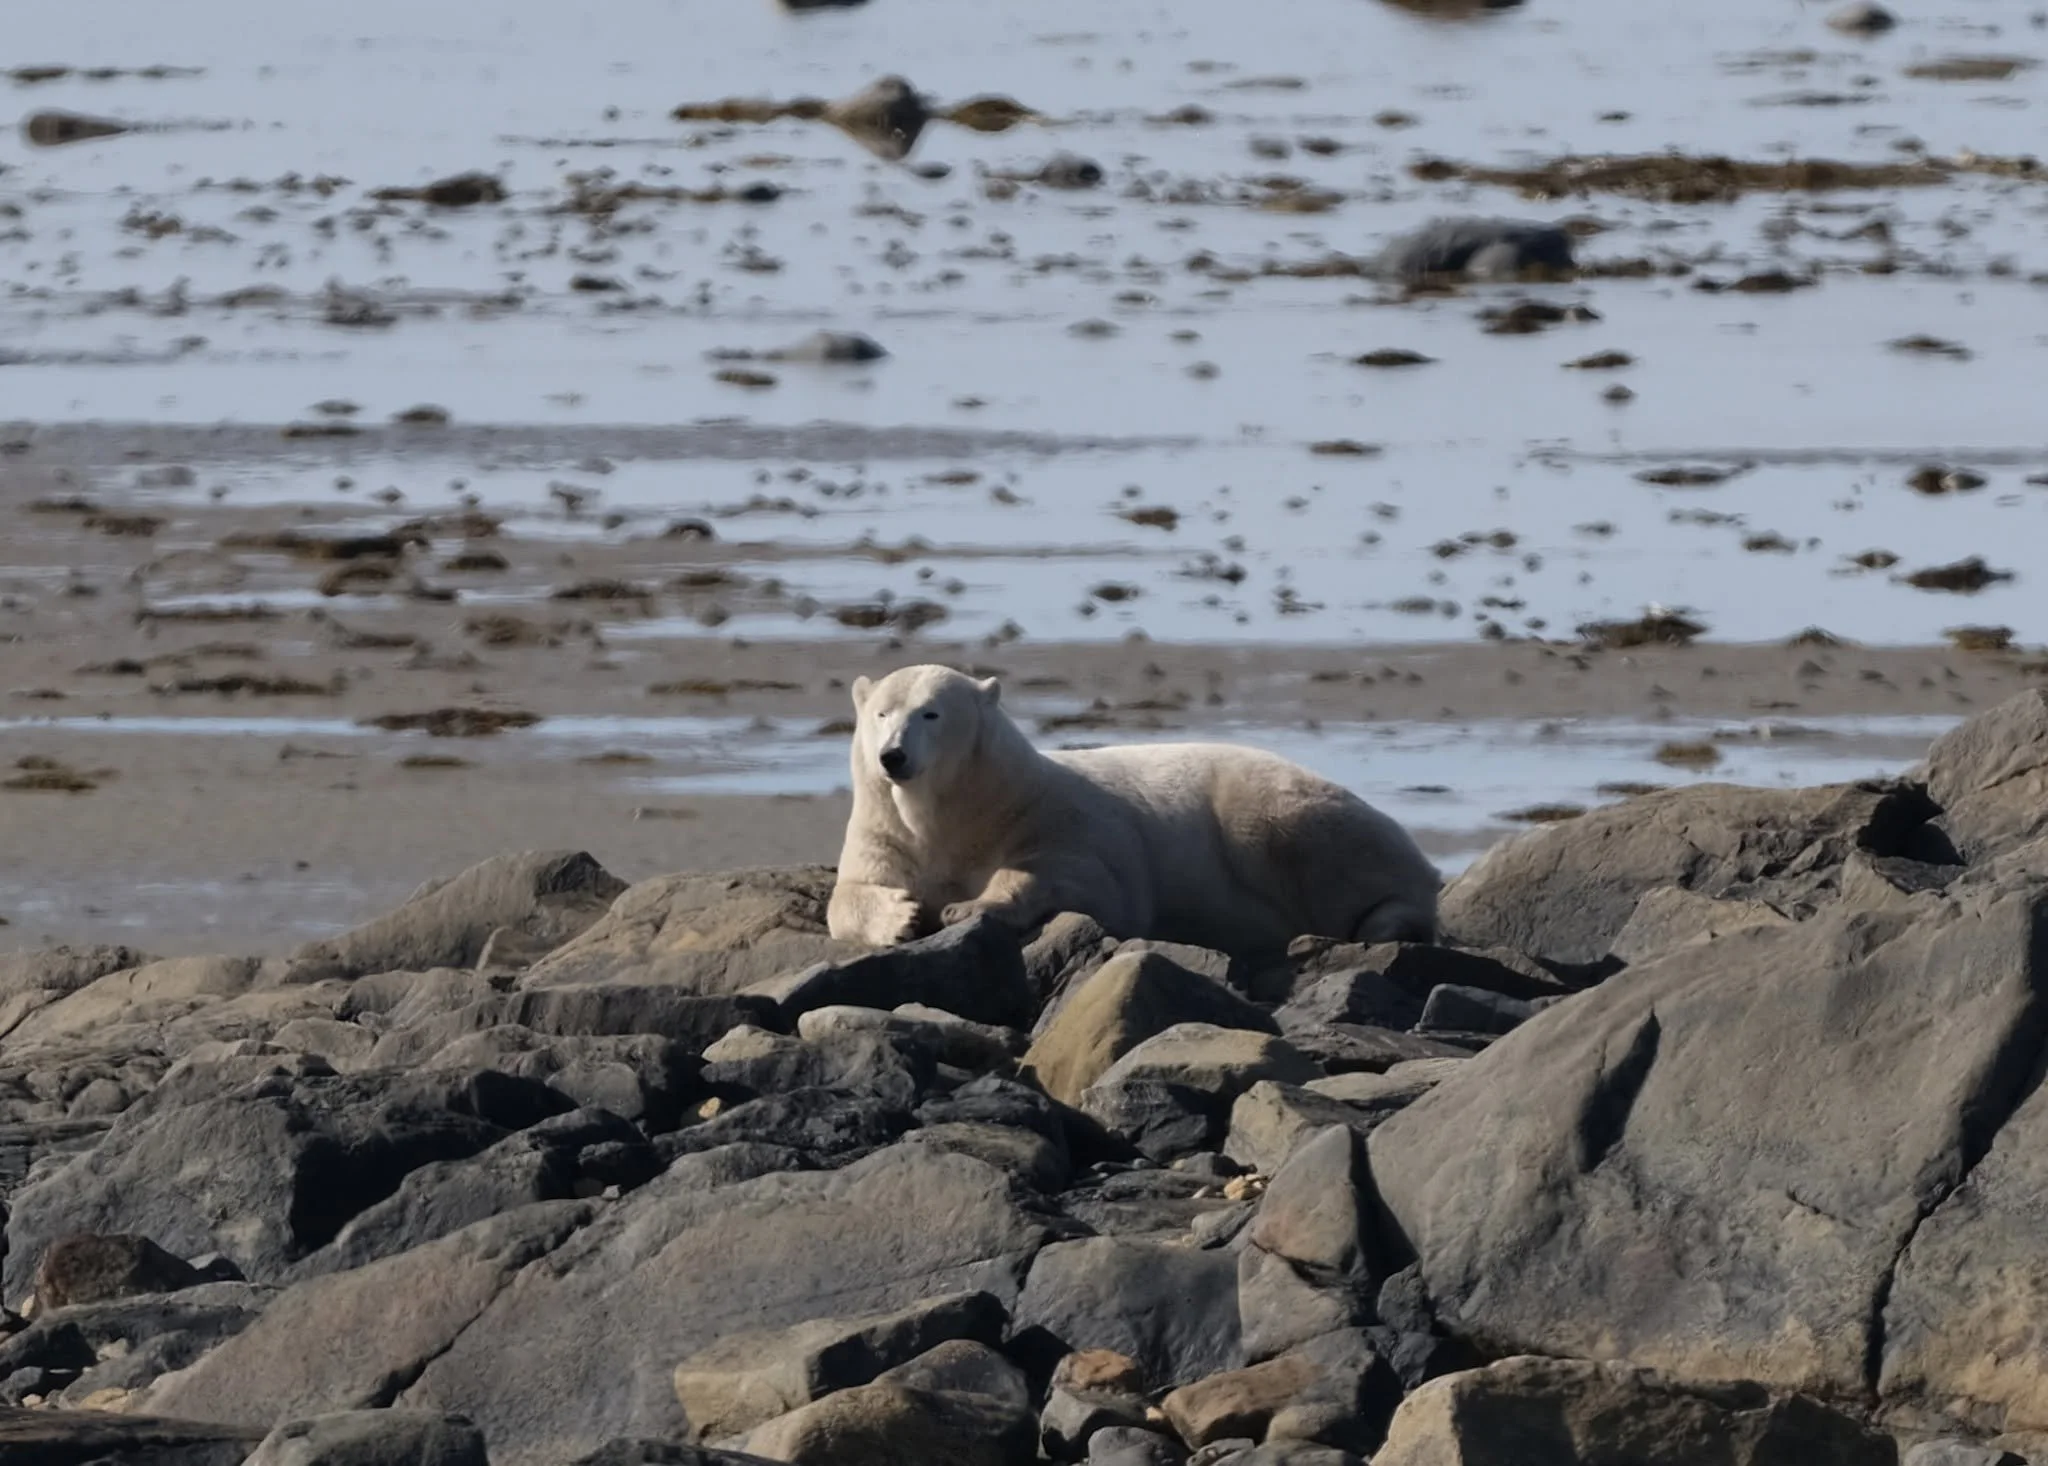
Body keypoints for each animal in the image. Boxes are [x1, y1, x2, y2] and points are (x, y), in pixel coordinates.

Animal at [826, 664, 1442, 955]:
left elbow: (1083, 878)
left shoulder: (1049, 814)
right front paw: (903, 915)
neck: (953, 810)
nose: (892, 756)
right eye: (881, 713)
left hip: (1277, 812)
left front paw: (967, 906)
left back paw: (1387, 919)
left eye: (931, 713)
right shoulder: (885, 829)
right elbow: (849, 893)